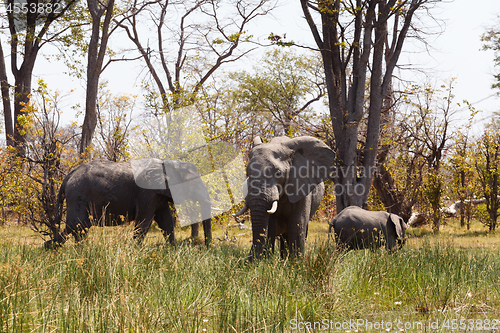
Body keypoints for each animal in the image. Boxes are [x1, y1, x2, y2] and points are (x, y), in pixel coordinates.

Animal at [43, 159, 213, 249]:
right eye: (193, 182)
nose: (208, 247)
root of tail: (68, 176)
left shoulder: (158, 195)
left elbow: (166, 221)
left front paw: (173, 250)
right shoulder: (147, 192)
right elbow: (144, 221)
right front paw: (136, 250)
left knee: (78, 227)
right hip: (78, 195)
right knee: (76, 225)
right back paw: (53, 248)